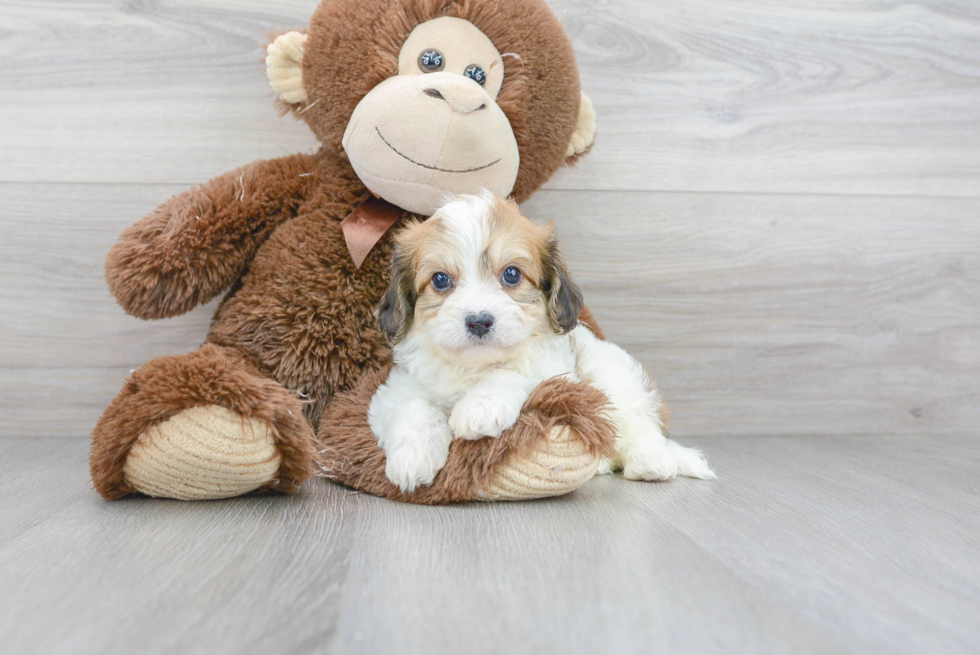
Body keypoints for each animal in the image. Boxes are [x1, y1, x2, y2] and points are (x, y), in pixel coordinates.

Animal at [366, 192, 712, 494]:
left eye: (511, 274)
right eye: (440, 280)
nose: (478, 321)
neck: (474, 366)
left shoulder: (553, 371)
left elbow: (512, 373)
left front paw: (480, 407)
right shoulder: (396, 388)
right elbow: (413, 408)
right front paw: (412, 458)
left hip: (617, 380)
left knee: (641, 426)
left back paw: (651, 462)